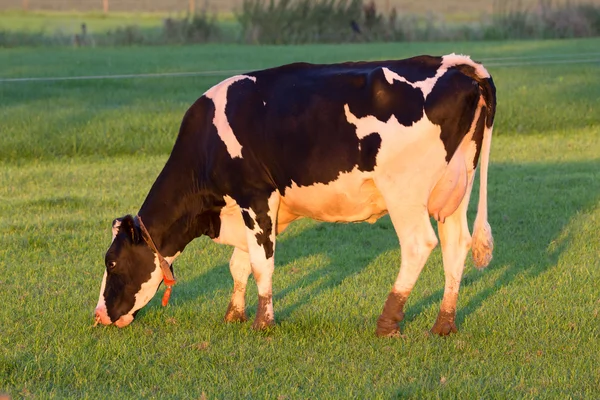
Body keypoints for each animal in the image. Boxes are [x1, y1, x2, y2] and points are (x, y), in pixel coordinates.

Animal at [95, 52, 496, 334]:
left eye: (111, 262)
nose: (99, 315)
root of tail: (453, 64)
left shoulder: (255, 196)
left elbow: (261, 263)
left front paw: (263, 323)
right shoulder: (250, 210)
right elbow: (239, 264)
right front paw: (233, 315)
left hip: (404, 192)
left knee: (418, 244)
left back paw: (387, 323)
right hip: (455, 188)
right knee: (455, 244)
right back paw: (443, 324)